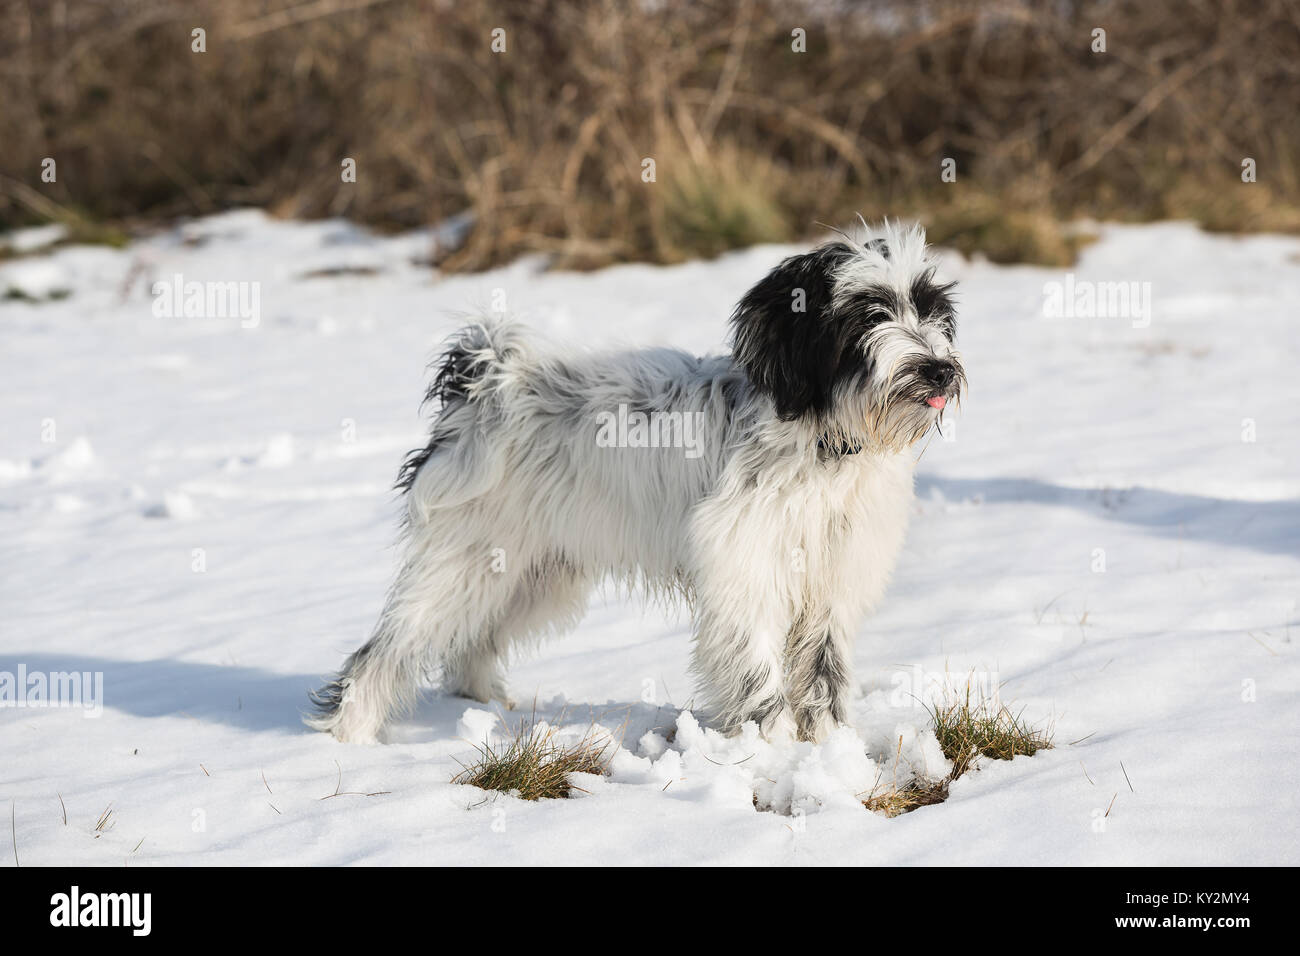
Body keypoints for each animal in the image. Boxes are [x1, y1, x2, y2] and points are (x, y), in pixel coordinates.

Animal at [309, 223, 967, 749]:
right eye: (870, 312)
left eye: (930, 308)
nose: (939, 370)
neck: (824, 443)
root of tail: (487, 382)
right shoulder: (744, 568)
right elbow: (758, 671)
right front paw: (773, 748)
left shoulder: (834, 575)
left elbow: (824, 671)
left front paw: (831, 746)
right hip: (465, 561)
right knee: (385, 651)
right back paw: (351, 736)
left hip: (533, 573)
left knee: (470, 643)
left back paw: (487, 705)